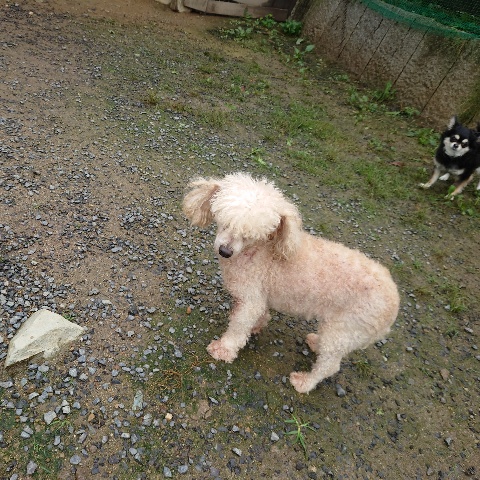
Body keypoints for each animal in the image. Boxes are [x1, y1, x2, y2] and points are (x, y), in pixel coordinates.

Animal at [182, 172, 399, 393]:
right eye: (225, 221)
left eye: (250, 236)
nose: (225, 251)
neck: (256, 251)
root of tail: (394, 303)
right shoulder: (261, 295)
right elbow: (259, 315)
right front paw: (257, 327)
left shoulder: (251, 299)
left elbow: (238, 326)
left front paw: (223, 349)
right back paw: (315, 342)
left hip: (345, 327)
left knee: (329, 365)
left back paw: (304, 382)